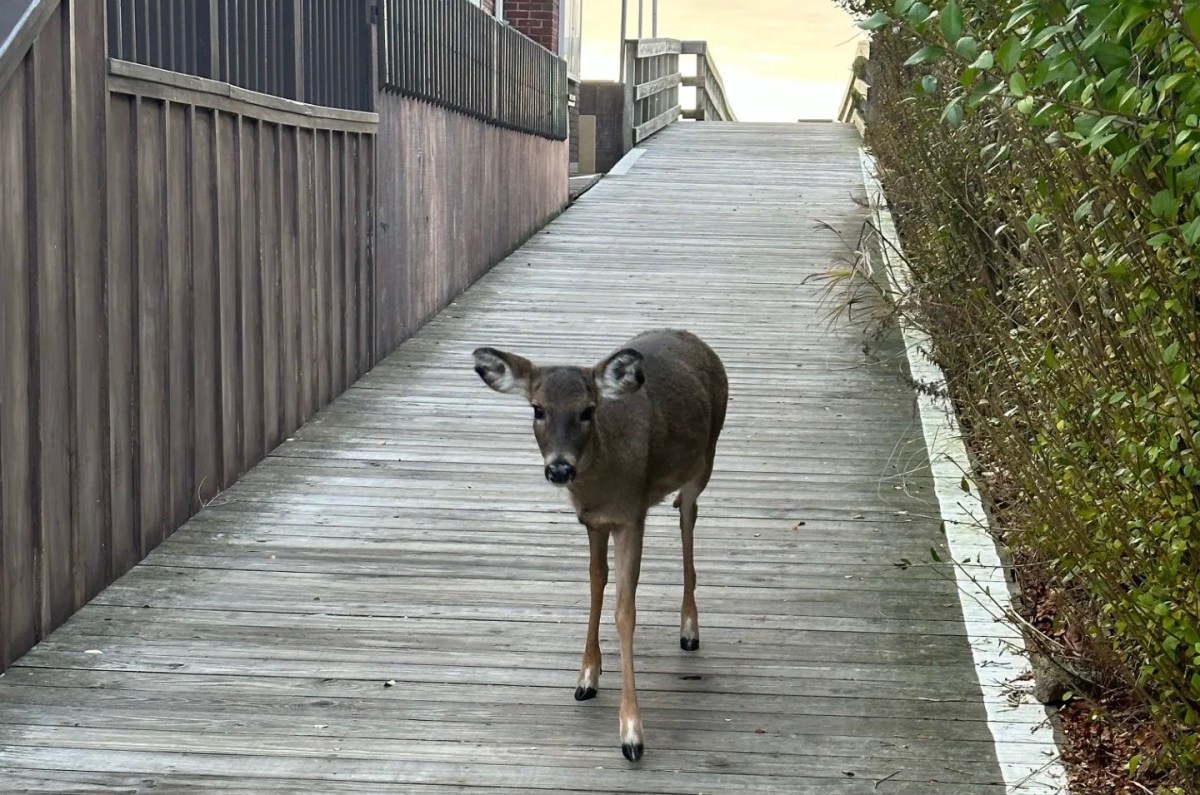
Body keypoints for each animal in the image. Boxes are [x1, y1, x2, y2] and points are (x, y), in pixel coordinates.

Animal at [472, 326, 724, 763]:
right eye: (537, 409)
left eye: (588, 410)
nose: (559, 468)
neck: (604, 478)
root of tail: (697, 341)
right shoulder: (592, 521)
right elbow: (595, 584)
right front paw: (587, 677)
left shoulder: (630, 517)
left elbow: (626, 612)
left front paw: (632, 734)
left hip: (705, 458)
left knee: (688, 517)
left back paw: (689, 629)